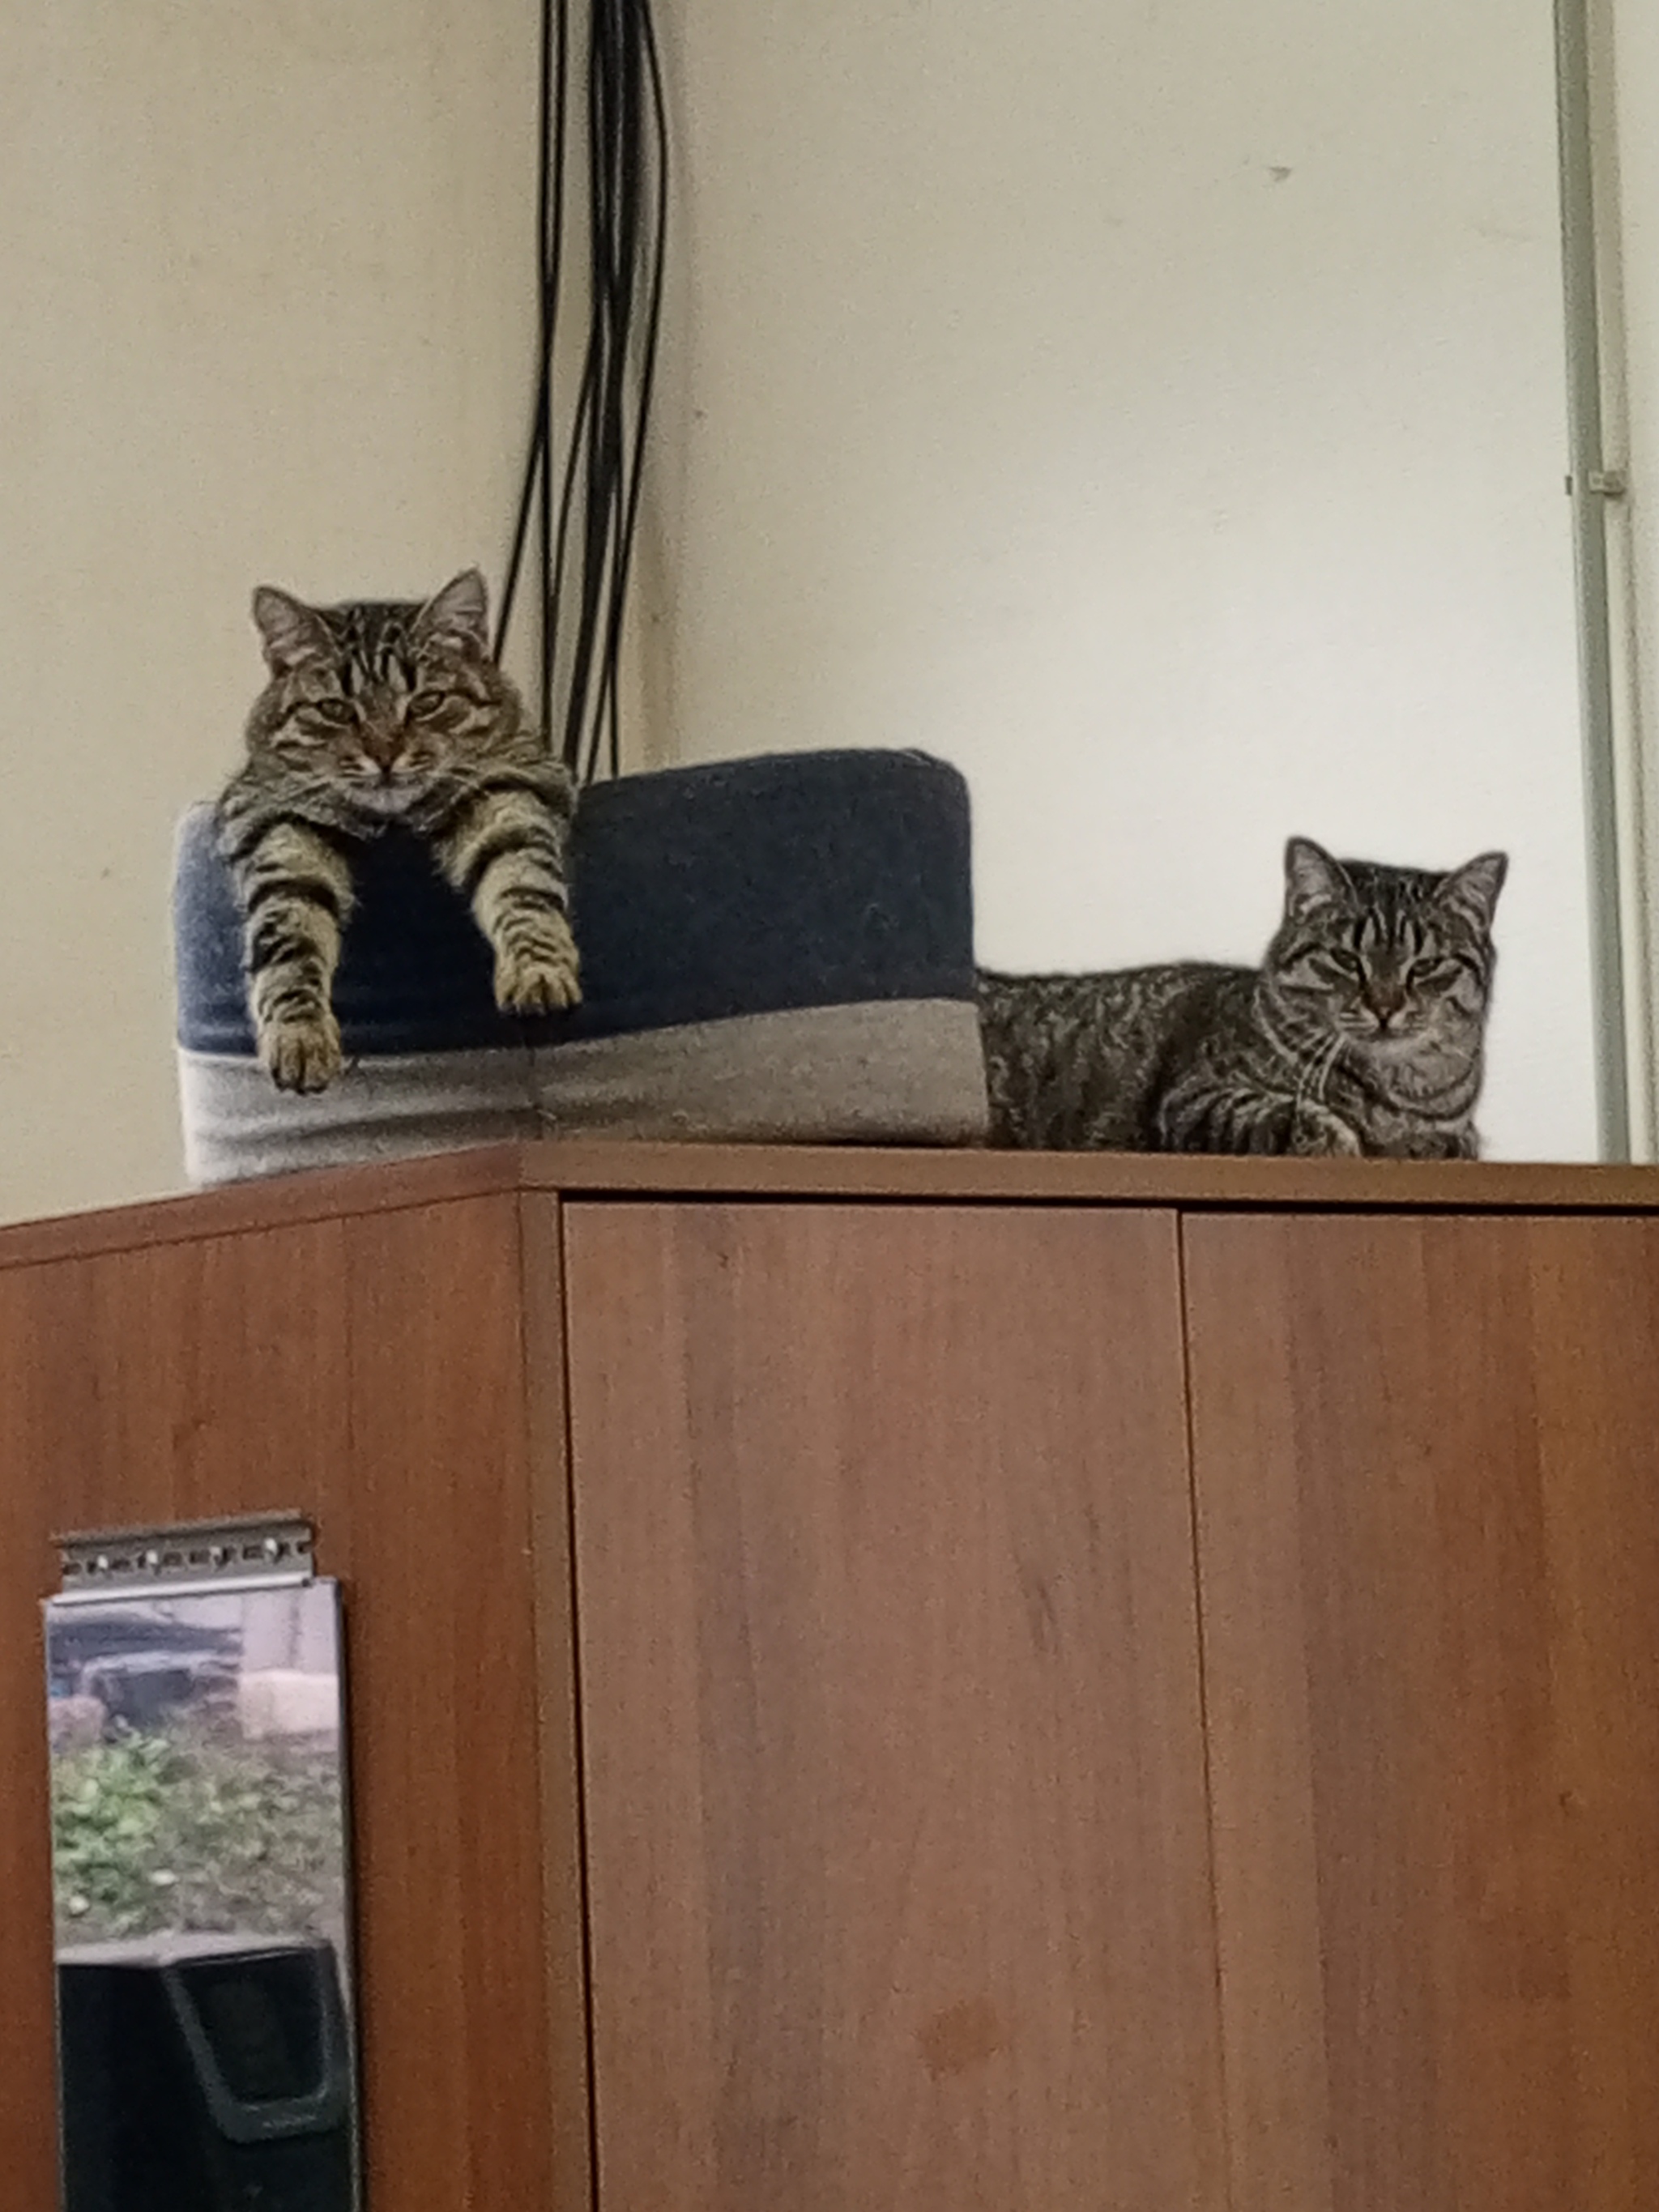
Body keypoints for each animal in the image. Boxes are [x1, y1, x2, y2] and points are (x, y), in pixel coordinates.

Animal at [216, 568, 580, 1093]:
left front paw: (538, 968)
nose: (384, 756)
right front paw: (298, 1036)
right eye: (335, 710)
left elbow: (523, 884)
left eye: (427, 702)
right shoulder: (276, 819)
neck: (391, 821)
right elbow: (286, 935)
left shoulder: (509, 785)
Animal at [978, 837, 1508, 1157]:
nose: (1384, 1006)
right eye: (1345, 959)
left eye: (1425, 966)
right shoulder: (1195, 1099)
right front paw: (1343, 1140)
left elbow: (1455, 1139)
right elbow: (1298, 1115)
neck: (1390, 1091)